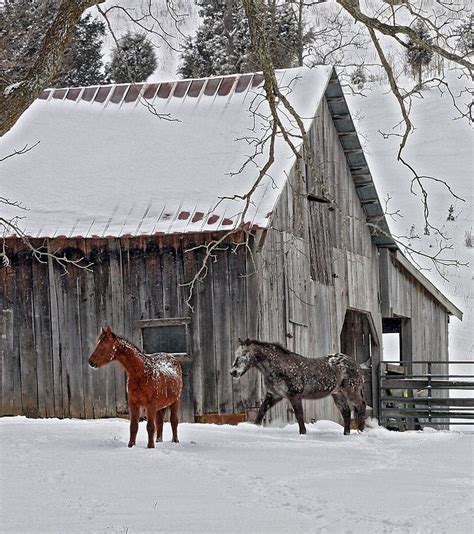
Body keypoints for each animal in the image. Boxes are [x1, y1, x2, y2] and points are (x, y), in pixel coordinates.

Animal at [230, 342, 366, 438]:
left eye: (244, 354)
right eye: (236, 354)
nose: (233, 372)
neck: (280, 367)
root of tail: (355, 364)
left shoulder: (294, 395)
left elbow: (299, 414)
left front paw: (303, 433)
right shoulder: (274, 395)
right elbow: (261, 411)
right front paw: (254, 428)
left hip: (351, 391)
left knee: (361, 405)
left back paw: (361, 431)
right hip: (337, 394)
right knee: (346, 412)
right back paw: (346, 433)